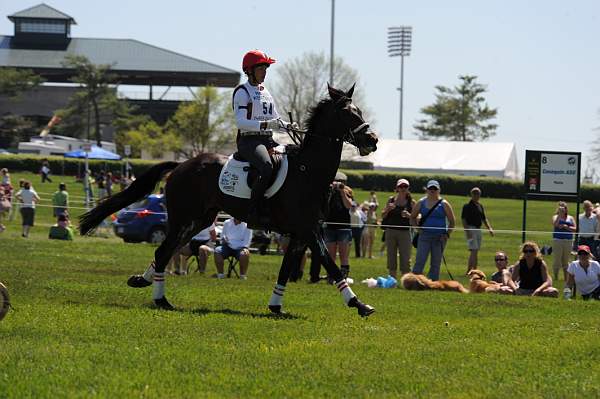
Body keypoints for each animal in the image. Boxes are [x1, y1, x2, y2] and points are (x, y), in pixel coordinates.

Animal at [78, 86, 380, 318]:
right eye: (348, 113)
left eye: (359, 111)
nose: (373, 140)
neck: (308, 172)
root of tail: (182, 165)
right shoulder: (308, 231)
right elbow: (331, 264)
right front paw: (359, 304)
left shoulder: (300, 234)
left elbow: (285, 270)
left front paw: (276, 306)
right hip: (182, 218)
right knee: (164, 251)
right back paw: (161, 299)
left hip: (199, 220)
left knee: (167, 251)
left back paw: (144, 282)